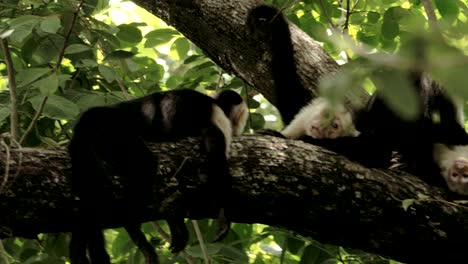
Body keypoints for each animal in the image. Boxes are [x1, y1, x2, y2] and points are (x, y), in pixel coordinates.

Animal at [68, 89, 249, 264]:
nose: (239, 129)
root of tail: (89, 116)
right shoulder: (216, 116)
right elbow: (215, 153)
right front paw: (223, 216)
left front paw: (176, 222)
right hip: (113, 132)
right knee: (144, 165)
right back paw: (137, 232)